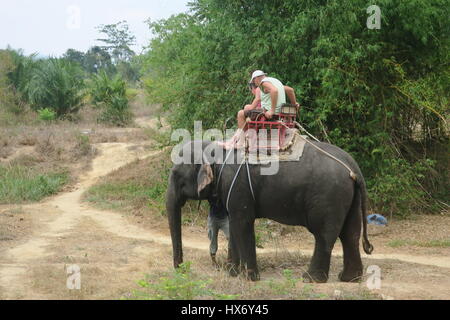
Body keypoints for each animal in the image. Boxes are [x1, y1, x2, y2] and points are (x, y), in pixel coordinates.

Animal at [165, 139, 372, 282]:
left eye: (175, 174)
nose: (181, 269)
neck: (215, 147)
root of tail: (353, 168)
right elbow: (234, 225)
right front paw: (232, 273)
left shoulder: (238, 186)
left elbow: (242, 224)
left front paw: (249, 278)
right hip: (348, 197)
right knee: (350, 233)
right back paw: (349, 278)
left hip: (328, 195)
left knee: (324, 235)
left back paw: (310, 279)